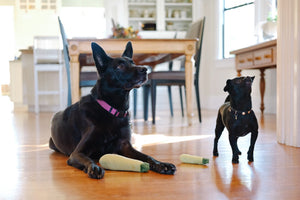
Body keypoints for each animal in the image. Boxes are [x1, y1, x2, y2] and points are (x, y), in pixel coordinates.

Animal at [49, 41, 176, 178]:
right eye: (120, 66)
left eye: (133, 63)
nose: (145, 69)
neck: (113, 111)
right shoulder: (77, 153)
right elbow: (87, 159)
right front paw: (94, 168)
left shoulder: (125, 146)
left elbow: (146, 156)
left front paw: (161, 164)